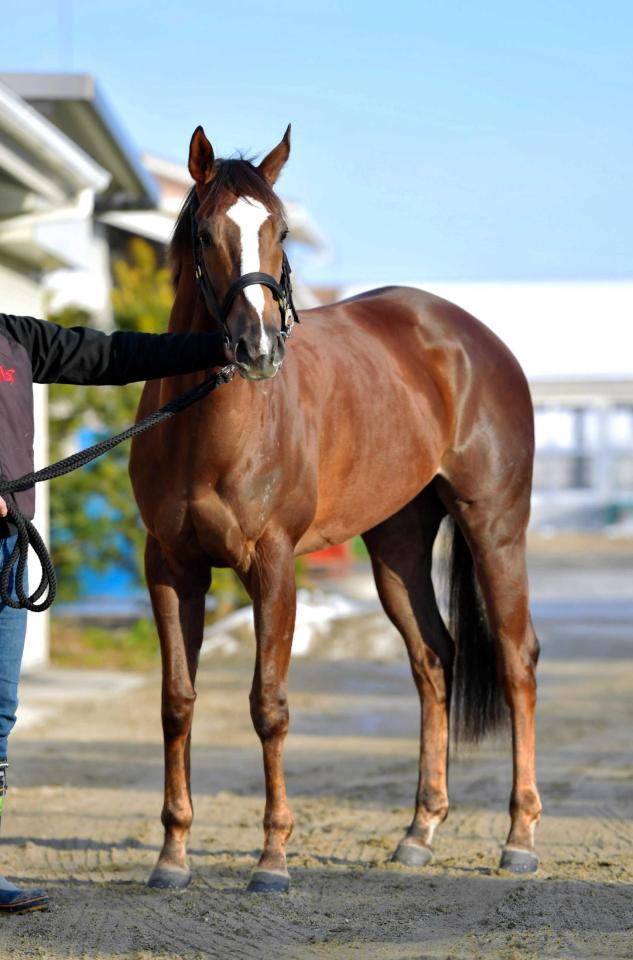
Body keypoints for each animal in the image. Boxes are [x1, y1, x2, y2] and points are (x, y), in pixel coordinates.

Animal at [127, 125, 540, 892]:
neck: (209, 429)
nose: (258, 347)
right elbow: (177, 703)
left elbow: (269, 705)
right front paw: (172, 856)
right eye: (205, 232)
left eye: (281, 230)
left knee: (514, 660)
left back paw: (519, 838)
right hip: (397, 547)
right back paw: (419, 832)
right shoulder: (169, 567)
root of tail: (470, 338)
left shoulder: (274, 566)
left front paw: (272, 859)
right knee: (432, 660)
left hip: (494, 527)